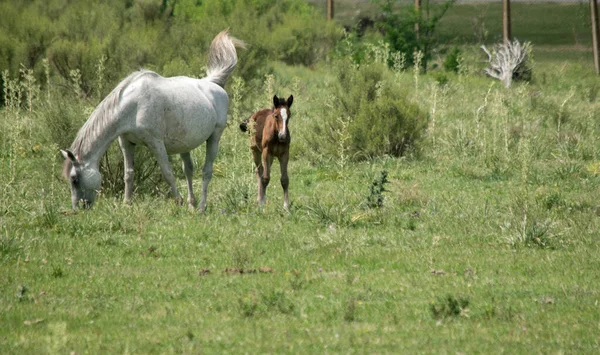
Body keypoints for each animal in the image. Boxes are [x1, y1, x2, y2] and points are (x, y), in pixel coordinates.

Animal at [60, 30, 244, 211]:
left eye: (74, 179)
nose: (78, 208)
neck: (134, 105)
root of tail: (213, 84)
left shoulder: (155, 142)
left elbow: (167, 173)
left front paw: (178, 201)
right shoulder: (126, 142)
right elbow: (129, 174)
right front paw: (127, 203)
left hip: (214, 137)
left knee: (206, 171)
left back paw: (201, 207)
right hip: (185, 145)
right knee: (188, 170)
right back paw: (192, 205)